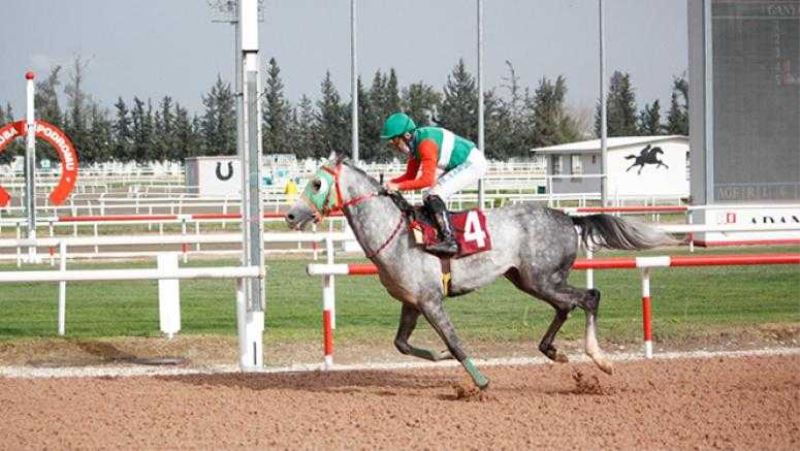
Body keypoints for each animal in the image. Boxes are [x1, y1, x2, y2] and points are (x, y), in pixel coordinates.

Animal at [288, 154, 676, 388]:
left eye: (317, 184)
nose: (291, 215)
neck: (396, 233)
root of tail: (568, 217)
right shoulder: (412, 302)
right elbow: (401, 344)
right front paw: (439, 356)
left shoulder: (431, 301)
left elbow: (455, 341)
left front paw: (480, 382)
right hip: (530, 280)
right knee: (568, 305)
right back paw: (554, 351)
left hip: (543, 278)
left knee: (590, 297)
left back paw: (600, 359)